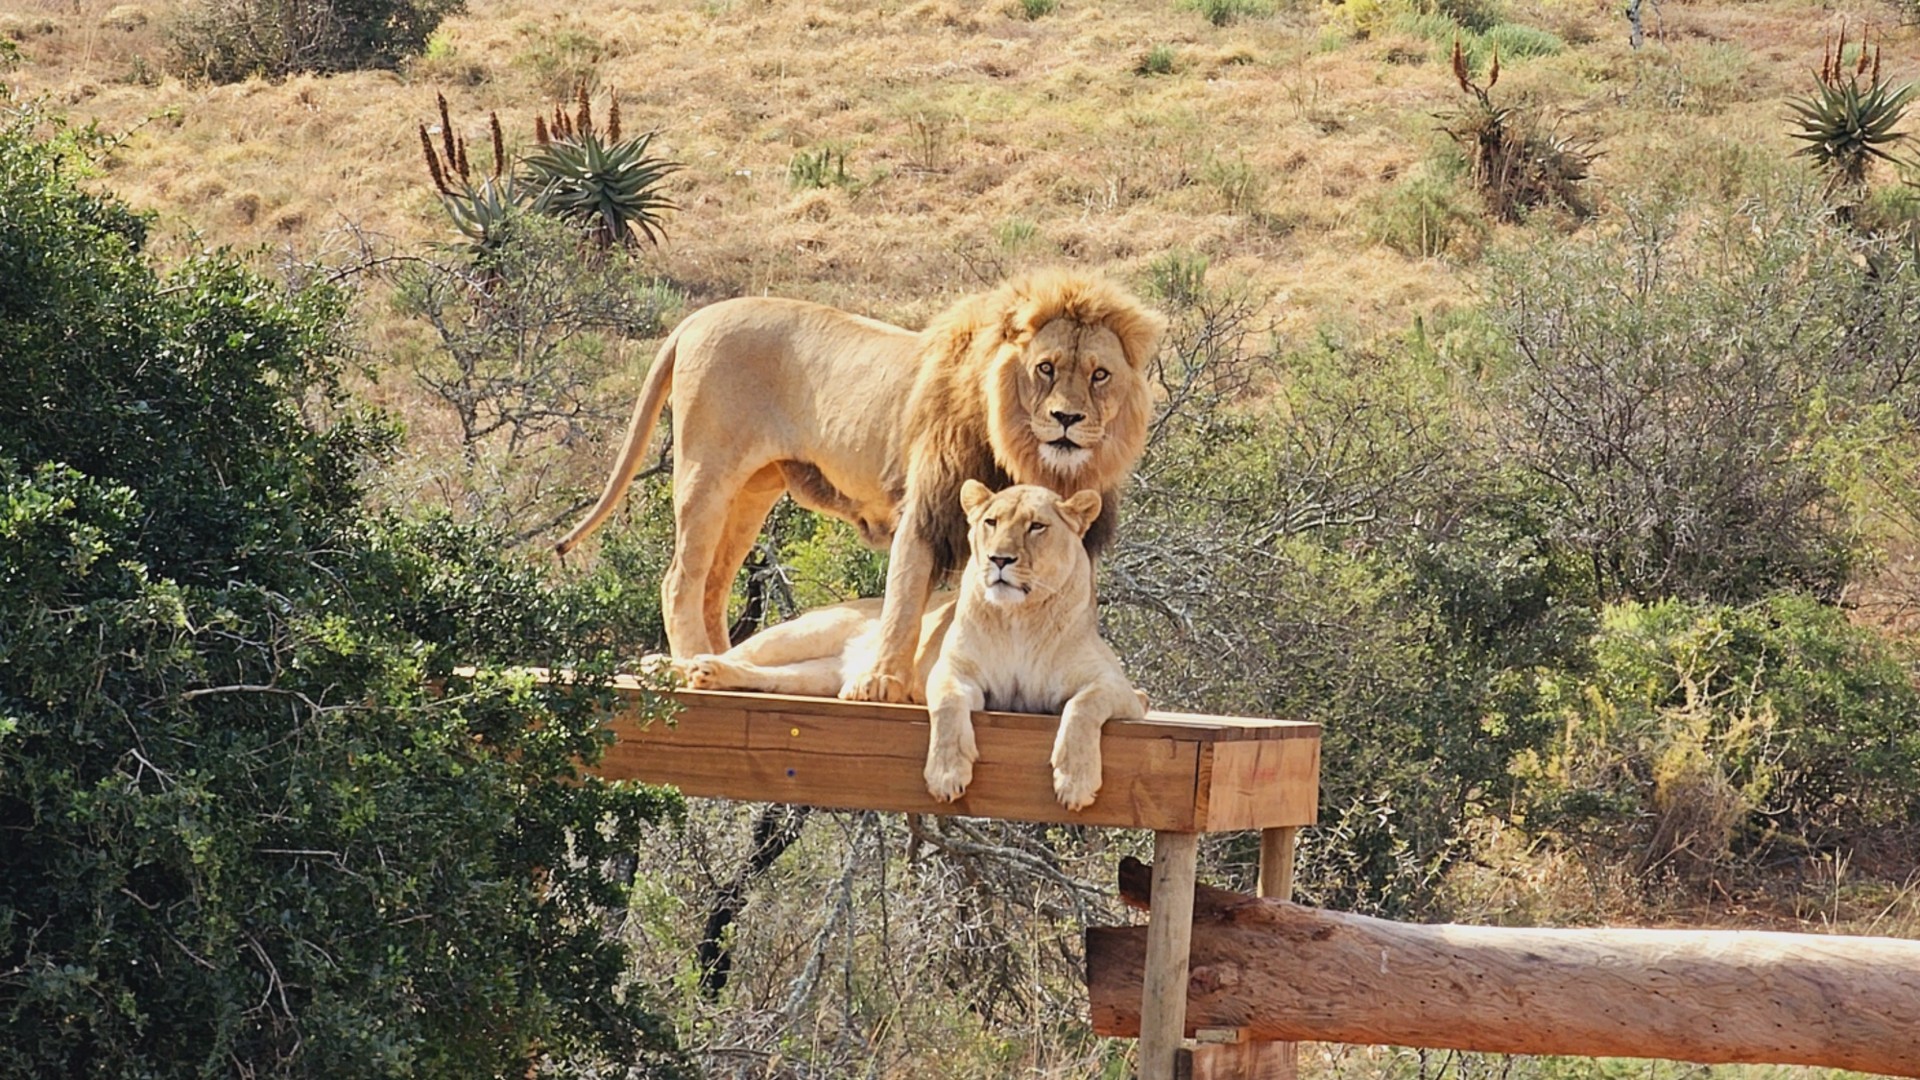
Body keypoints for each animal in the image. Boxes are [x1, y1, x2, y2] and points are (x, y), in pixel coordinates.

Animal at [549, 269, 1159, 668]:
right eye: (1046, 368)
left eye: (1099, 374)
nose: (1067, 418)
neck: (1029, 455)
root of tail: (694, 318)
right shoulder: (928, 507)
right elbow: (904, 599)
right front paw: (883, 682)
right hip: (707, 475)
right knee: (680, 579)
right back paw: (693, 663)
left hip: (752, 493)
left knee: (714, 586)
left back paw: (729, 664)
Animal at [675, 478, 1136, 807]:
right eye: (991, 523)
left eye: (1036, 526)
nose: (999, 560)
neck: (1019, 619)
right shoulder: (951, 672)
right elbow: (947, 707)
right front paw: (947, 775)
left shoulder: (1124, 692)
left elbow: (1082, 707)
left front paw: (1074, 781)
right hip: (807, 631)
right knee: (742, 653)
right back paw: (687, 667)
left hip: (815, 677)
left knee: (769, 676)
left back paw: (713, 674)